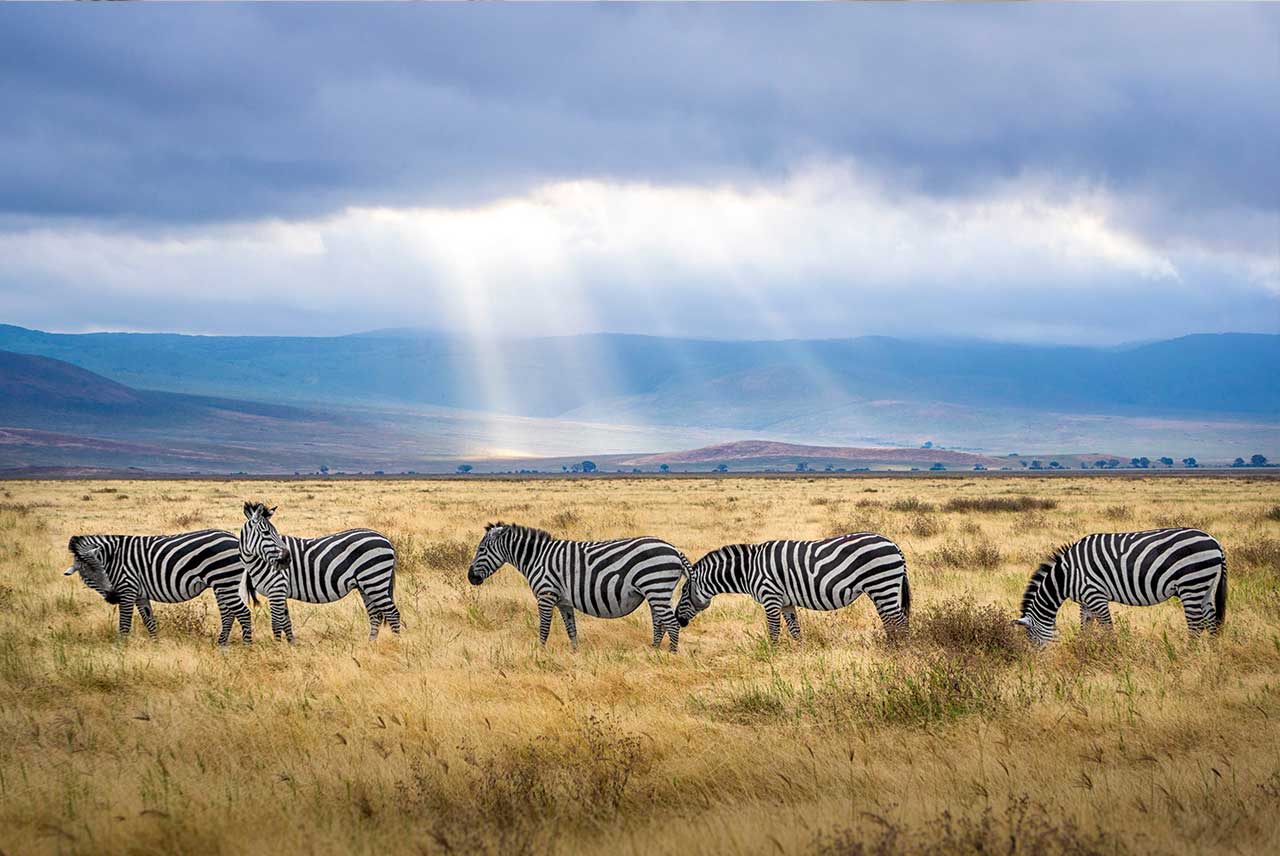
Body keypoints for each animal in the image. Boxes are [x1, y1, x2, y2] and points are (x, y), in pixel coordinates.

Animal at [62, 524, 250, 644]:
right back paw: (221, 645)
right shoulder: (139, 594)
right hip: (222, 585)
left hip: (225, 581)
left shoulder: (127, 589)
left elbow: (124, 624)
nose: (113, 597)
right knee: (228, 614)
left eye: (102, 570)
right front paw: (156, 645)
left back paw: (247, 647)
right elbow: (149, 621)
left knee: (243, 613)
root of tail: (234, 538)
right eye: (88, 576)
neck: (113, 558)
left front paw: (121, 650)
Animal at [238, 501, 399, 639]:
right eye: (266, 533)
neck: (258, 561)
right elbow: (286, 622)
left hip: (374, 580)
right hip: (366, 585)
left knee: (393, 614)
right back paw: (371, 644)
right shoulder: (280, 591)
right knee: (375, 615)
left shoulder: (277, 588)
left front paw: (278, 648)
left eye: (275, 532)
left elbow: (276, 624)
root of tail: (386, 539)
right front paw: (291, 645)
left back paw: (396, 642)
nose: (287, 559)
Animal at [468, 516, 691, 649]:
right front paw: (575, 654)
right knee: (660, 623)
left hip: (656, 587)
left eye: (481, 550)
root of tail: (674, 549)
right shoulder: (563, 601)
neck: (537, 557)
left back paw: (670, 656)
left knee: (671, 624)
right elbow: (571, 629)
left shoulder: (546, 595)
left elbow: (544, 628)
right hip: (656, 592)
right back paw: (654, 652)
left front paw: (540, 653)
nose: (470, 577)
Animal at [675, 529, 916, 644]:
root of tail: (894, 544)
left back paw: (901, 651)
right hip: (882, 589)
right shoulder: (786, 603)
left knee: (900, 621)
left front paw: (772, 656)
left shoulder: (770, 597)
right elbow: (795, 630)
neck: (748, 569)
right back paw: (891, 647)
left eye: (684, 592)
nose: (678, 619)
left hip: (882, 584)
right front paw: (799, 654)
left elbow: (774, 631)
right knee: (890, 621)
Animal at [1013, 524, 1223, 644]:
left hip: (1191, 584)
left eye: (1032, 639)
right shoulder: (1085, 600)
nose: (1037, 662)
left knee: (1196, 624)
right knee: (1210, 619)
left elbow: (1107, 627)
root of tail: (1214, 541)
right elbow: (1086, 626)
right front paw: (1085, 648)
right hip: (1205, 586)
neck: (1066, 576)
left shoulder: (1095, 595)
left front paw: (1112, 652)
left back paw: (1189, 654)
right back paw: (1212, 653)